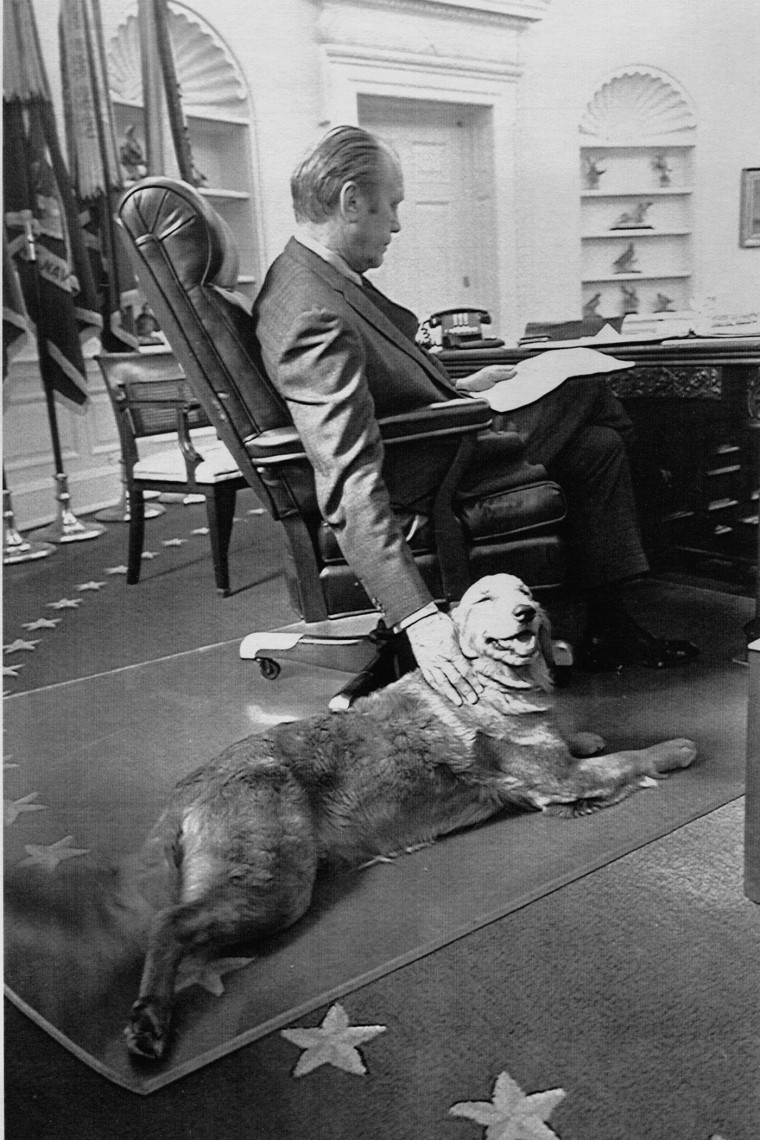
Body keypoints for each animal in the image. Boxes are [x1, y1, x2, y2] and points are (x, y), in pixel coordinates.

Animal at [123, 574, 697, 1062]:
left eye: (527, 592)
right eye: (485, 599)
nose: (528, 612)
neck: (494, 682)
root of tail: (189, 784)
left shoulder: (558, 765)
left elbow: (580, 743)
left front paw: (585, 735)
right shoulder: (560, 779)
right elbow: (632, 757)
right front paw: (675, 748)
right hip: (274, 884)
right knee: (169, 923)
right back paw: (150, 1021)